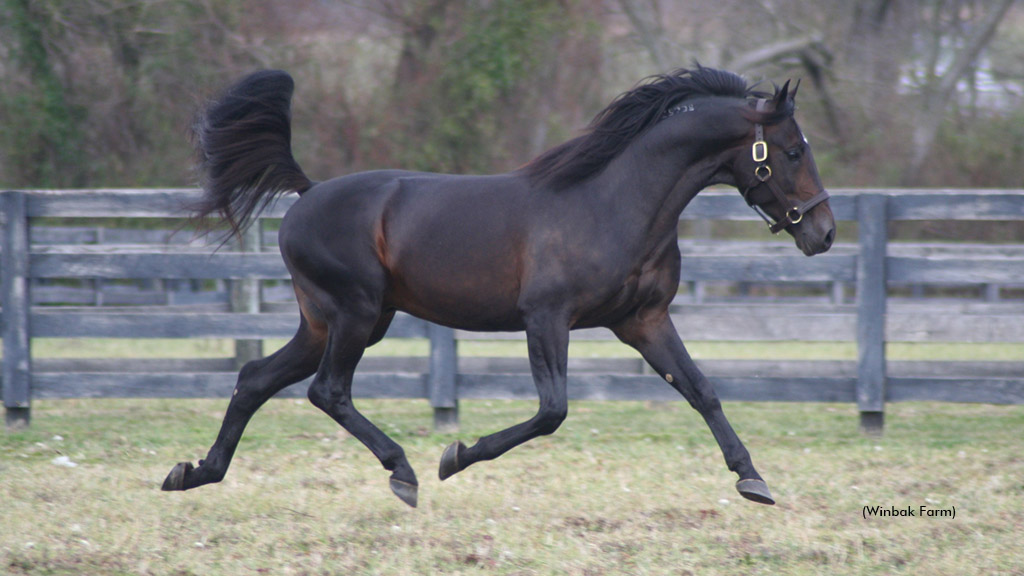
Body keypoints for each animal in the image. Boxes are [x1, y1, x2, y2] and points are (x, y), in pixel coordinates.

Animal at [162, 66, 835, 508]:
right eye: (792, 151)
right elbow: (552, 411)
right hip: (355, 314)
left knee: (256, 379)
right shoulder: (547, 318)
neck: (613, 202)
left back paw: (194, 473)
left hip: (331, 321)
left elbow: (703, 391)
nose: (824, 232)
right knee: (328, 390)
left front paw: (752, 479)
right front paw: (455, 456)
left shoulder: (643, 321)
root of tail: (306, 193)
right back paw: (403, 472)